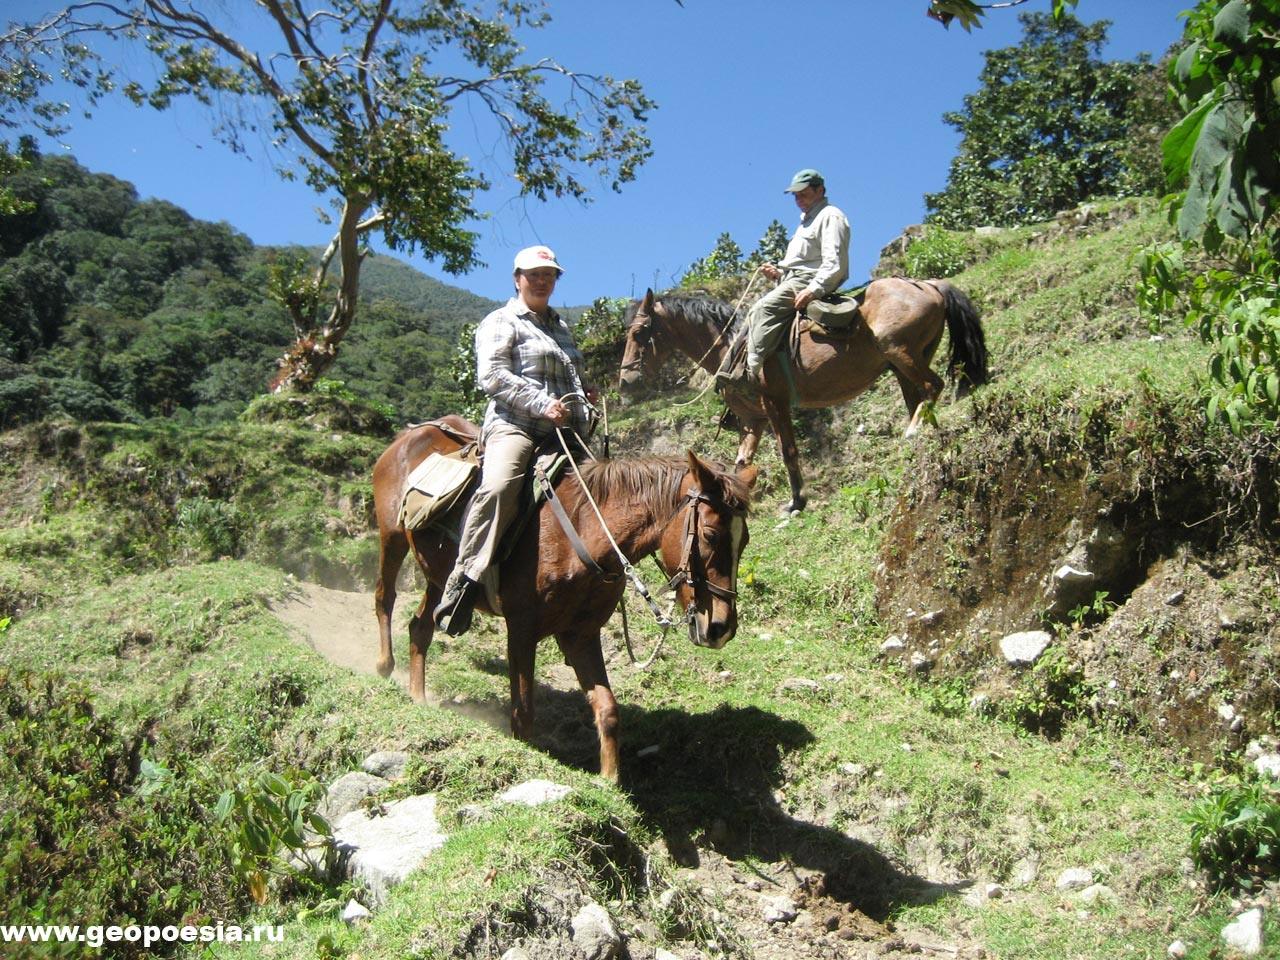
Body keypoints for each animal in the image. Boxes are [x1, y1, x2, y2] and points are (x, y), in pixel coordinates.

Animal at [371, 417, 752, 783]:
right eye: (709, 534)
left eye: (744, 540)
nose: (721, 628)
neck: (582, 531)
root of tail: (412, 434)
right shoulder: (521, 629)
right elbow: (523, 712)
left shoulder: (580, 634)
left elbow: (607, 709)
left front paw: (609, 781)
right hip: (392, 537)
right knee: (384, 597)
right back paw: (384, 666)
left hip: (438, 574)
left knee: (421, 625)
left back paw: (419, 697)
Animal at [619, 280, 988, 519]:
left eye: (639, 333)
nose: (625, 380)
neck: (734, 345)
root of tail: (929, 285)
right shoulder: (752, 419)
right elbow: (741, 464)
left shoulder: (775, 404)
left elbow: (788, 452)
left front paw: (797, 503)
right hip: (901, 364)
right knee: (920, 399)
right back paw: (922, 436)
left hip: (902, 353)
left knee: (933, 386)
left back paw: (913, 432)